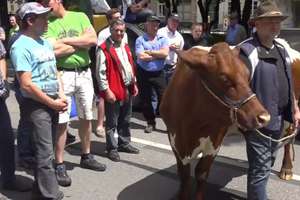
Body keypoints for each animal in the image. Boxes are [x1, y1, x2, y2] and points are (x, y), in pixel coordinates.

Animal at [161, 42, 270, 200]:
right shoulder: (176, 142)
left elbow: (201, 173)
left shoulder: (214, 143)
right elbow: (184, 178)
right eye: (224, 78)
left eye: (247, 75)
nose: (264, 117)